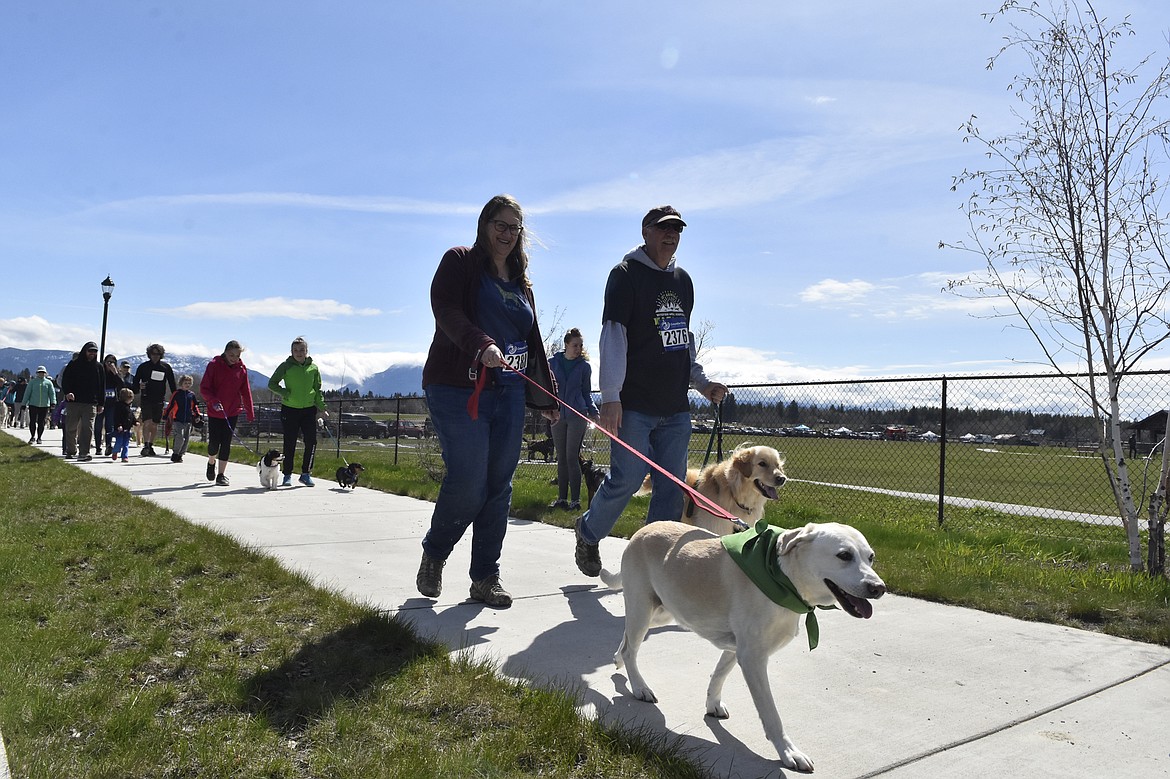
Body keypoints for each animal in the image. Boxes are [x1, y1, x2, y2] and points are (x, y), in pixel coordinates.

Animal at [599, 519, 879, 767]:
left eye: (871, 557)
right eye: (844, 555)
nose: (878, 587)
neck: (782, 577)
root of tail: (641, 531)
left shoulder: (737, 649)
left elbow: (718, 675)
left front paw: (712, 704)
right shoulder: (753, 657)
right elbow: (771, 713)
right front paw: (788, 752)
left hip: (660, 613)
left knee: (626, 640)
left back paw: (618, 659)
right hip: (643, 609)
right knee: (632, 648)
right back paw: (639, 686)